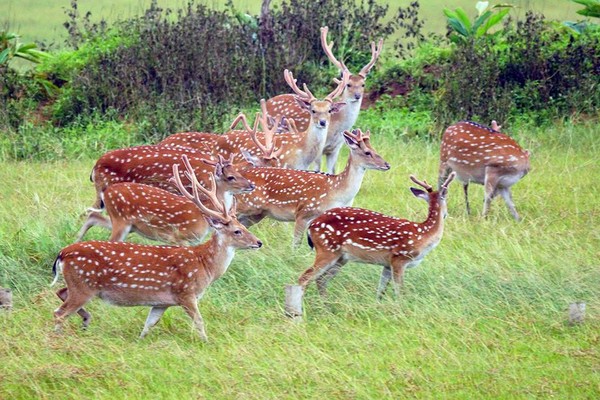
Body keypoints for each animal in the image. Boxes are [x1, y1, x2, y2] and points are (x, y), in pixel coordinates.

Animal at [75, 155, 255, 244]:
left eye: (239, 172)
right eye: (231, 177)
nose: (251, 185)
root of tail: (106, 193)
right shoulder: (179, 237)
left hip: (125, 223)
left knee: (93, 215)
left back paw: (76, 240)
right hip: (121, 221)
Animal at [234, 128, 390, 247]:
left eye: (374, 149)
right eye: (367, 152)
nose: (387, 164)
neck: (336, 192)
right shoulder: (303, 212)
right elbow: (296, 244)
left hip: (257, 214)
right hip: (244, 205)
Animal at [268, 26, 384, 173]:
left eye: (363, 84)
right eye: (348, 84)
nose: (358, 96)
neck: (336, 128)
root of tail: (268, 101)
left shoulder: (336, 149)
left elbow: (332, 171)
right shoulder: (320, 150)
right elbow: (318, 169)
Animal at [284, 173, 454, 318]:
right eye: (447, 197)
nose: (446, 215)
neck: (423, 235)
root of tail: (311, 226)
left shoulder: (387, 264)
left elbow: (381, 290)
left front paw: (377, 307)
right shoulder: (399, 258)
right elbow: (400, 290)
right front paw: (402, 310)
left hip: (341, 258)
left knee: (321, 279)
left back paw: (327, 307)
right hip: (327, 249)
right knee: (305, 277)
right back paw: (299, 310)